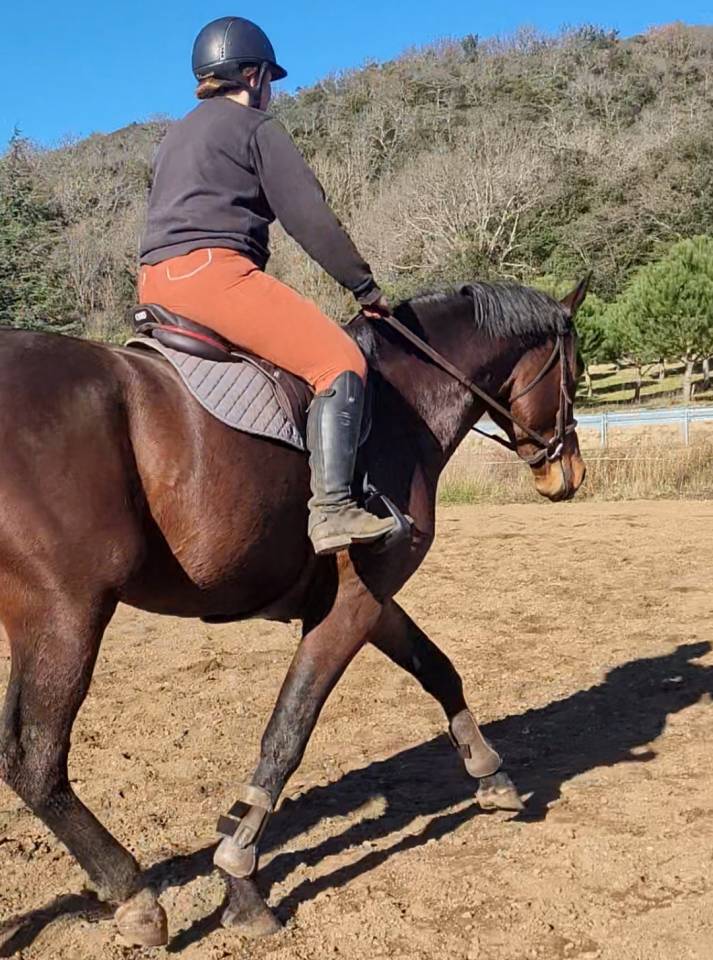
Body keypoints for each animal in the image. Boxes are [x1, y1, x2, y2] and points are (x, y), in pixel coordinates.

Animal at [0, 278, 588, 946]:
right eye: (576, 372)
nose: (569, 474)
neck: (399, 407)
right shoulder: (354, 603)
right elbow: (288, 732)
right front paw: (241, 878)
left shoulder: (367, 598)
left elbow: (439, 670)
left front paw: (490, 772)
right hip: (66, 615)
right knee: (35, 760)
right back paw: (135, 896)